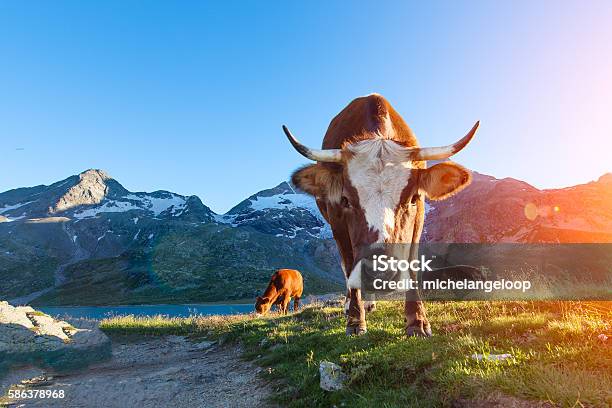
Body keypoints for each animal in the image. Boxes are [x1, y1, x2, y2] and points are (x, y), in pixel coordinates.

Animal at [282, 94, 478, 336]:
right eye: (346, 200)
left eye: (412, 199)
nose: (380, 273)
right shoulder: (336, 220)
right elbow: (349, 263)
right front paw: (355, 320)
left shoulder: (420, 215)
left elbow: (412, 262)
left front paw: (417, 321)